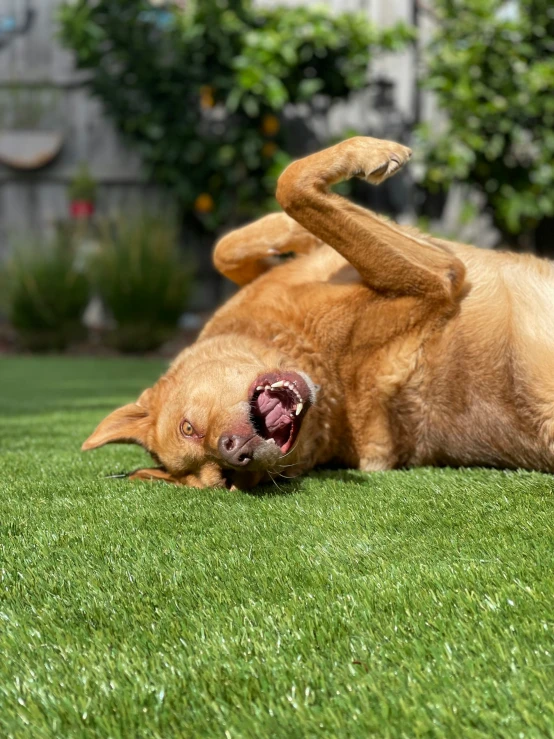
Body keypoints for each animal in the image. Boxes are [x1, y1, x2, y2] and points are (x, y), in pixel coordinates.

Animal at [82, 136, 552, 488]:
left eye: (188, 427)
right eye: (227, 481)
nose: (235, 454)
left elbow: (234, 242)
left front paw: (285, 232)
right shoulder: (440, 279)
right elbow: (291, 187)